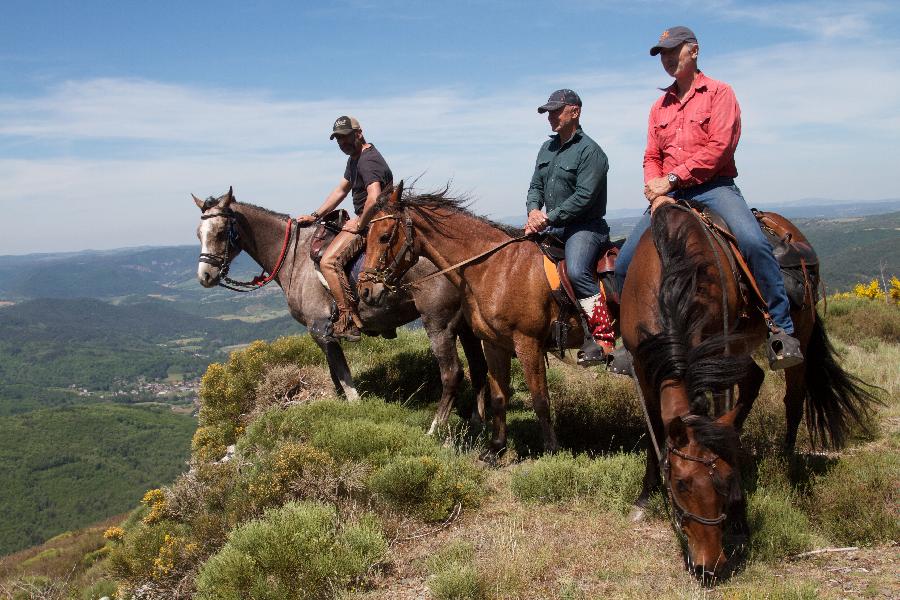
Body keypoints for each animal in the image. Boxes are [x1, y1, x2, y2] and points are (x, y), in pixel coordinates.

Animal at [190, 189, 486, 436]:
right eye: (198, 233)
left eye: (220, 232)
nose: (205, 276)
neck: (294, 258)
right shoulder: (325, 335)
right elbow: (335, 373)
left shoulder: (320, 330)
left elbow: (343, 374)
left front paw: (355, 407)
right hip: (465, 325)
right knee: (478, 368)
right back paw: (478, 421)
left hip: (439, 324)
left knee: (452, 373)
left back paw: (436, 430)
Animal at [358, 183, 596, 454]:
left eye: (384, 236)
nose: (365, 290)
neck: (497, 267)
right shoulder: (494, 343)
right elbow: (499, 396)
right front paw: (495, 448)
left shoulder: (528, 343)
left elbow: (540, 399)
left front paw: (551, 449)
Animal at [620, 203, 880, 580]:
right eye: (681, 484)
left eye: (725, 480)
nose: (710, 567)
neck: (671, 272)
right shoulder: (644, 366)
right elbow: (656, 430)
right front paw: (643, 499)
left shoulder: (719, 356)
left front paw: (740, 518)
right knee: (754, 384)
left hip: (796, 338)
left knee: (792, 401)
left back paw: (787, 463)